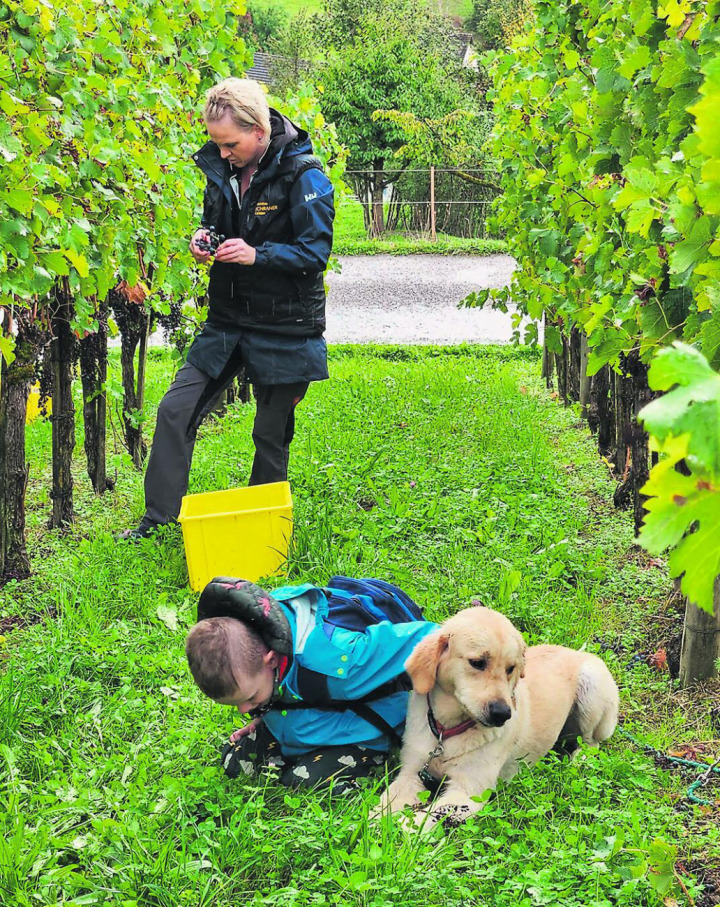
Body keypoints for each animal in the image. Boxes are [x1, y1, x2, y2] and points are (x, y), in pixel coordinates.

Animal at [376, 608, 620, 828]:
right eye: (477, 662)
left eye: (510, 668)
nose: (503, 714)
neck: (447, 732)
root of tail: (579, 652)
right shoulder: (411, 770)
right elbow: (387, 801)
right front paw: (374, 821)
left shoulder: (469, 791)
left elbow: (425, 818)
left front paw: (400, 830)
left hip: (592, 689)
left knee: (591, 742)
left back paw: (580, 759)